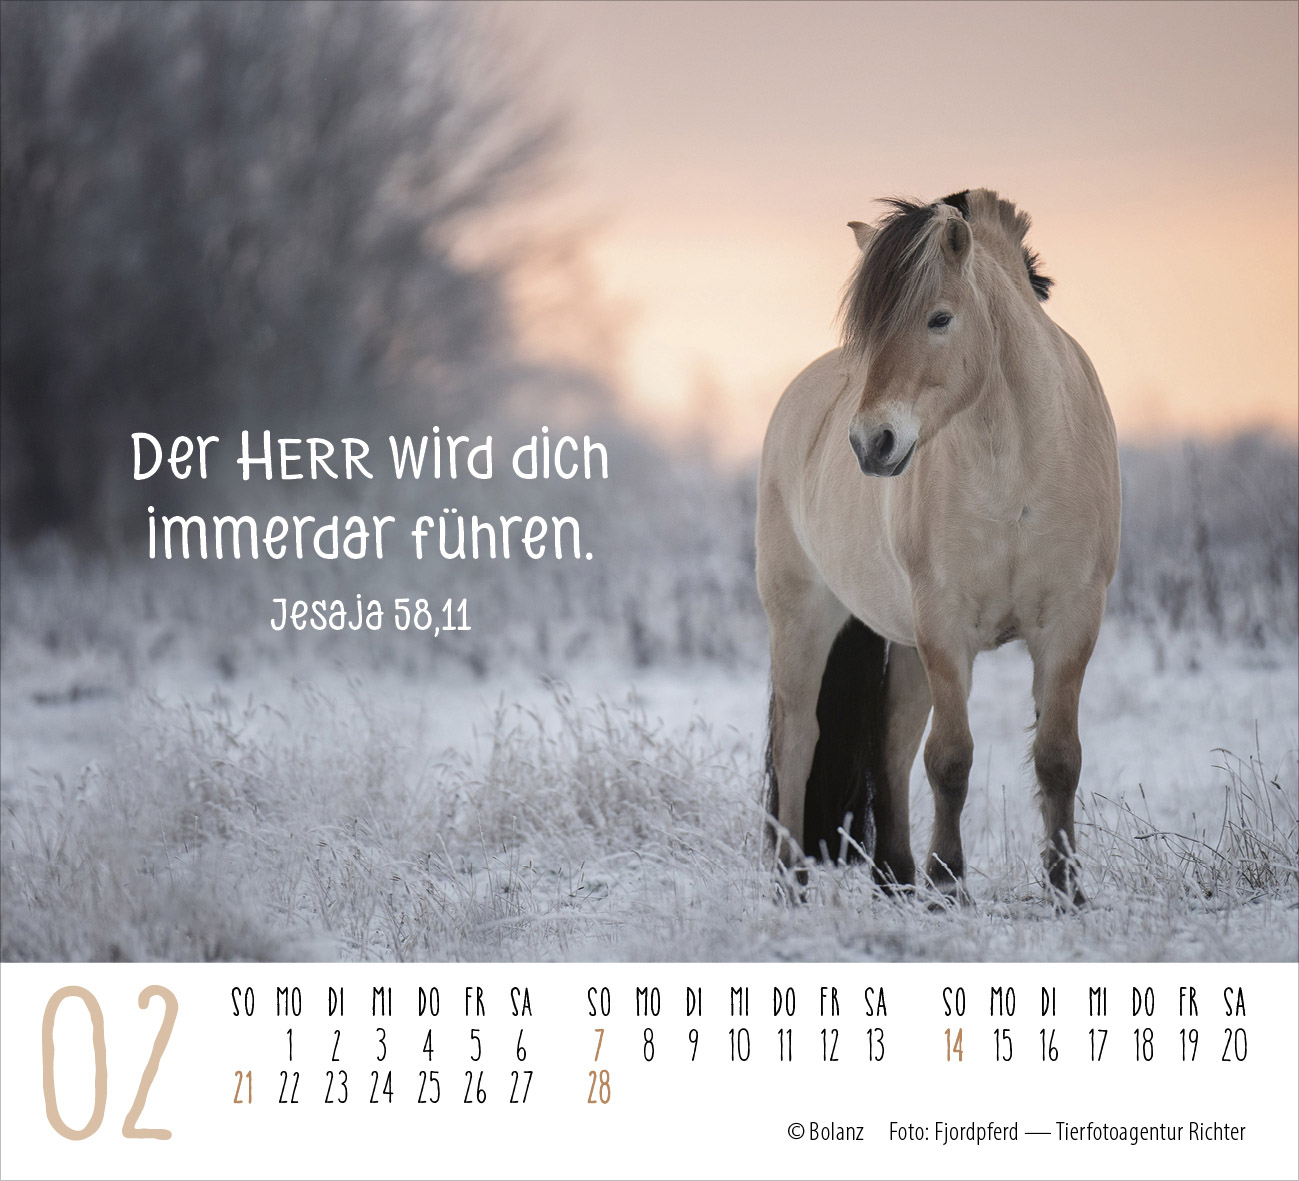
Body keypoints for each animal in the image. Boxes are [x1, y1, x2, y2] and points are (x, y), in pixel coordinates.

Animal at [757, 188, 1120, 905]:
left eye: (939, 319)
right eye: (868, 333)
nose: (870, 441)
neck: (1015, 468)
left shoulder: (1071, 621)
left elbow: (1057, 756)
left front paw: (1065, 888)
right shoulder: (945, 629)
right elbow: (950, 758)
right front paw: (949, 881)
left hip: (901, 642)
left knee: (891, 741)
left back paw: (895, 876)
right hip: (803, 618)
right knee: (799, 738)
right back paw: (792, 880)